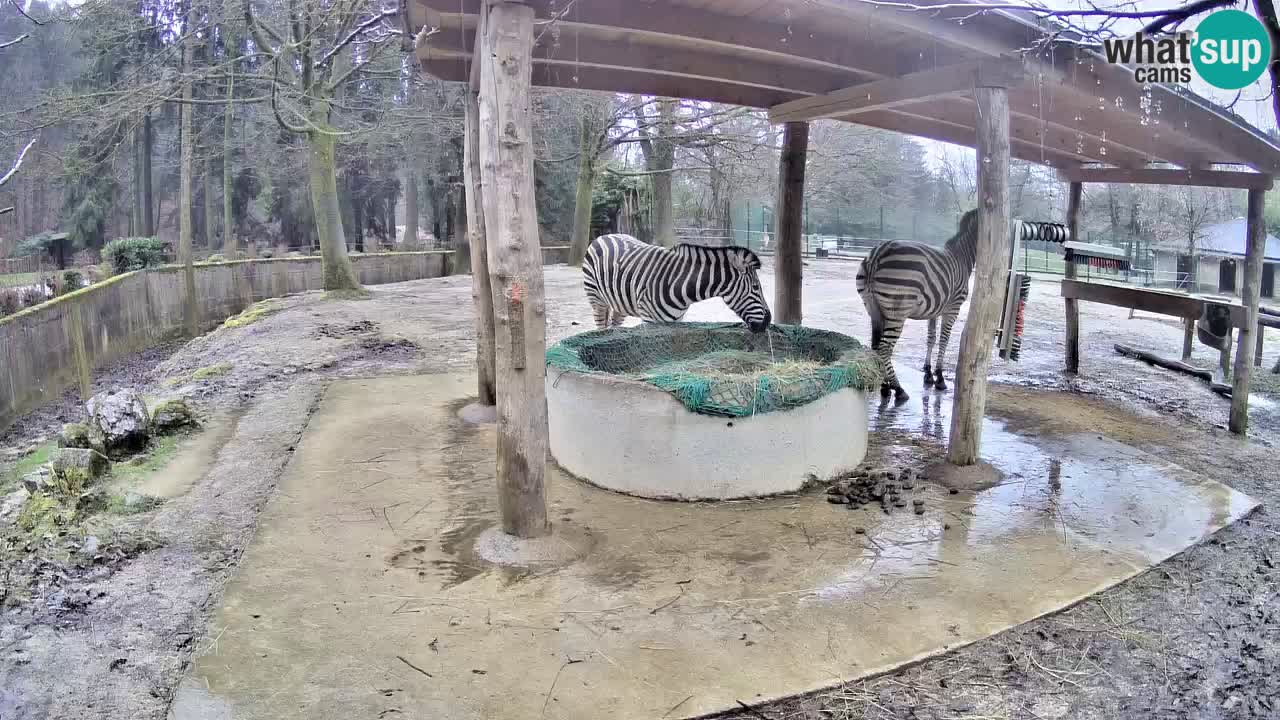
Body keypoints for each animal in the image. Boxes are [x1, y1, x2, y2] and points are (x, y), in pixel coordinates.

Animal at [581, 234, 768, 333]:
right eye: (756, 287)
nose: (768, 322)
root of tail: (603, 236)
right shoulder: (649, 321)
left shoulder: (676, 321)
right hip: (596, 299)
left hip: (619, 303)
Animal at [855, 207, 983, 399]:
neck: (962, 257)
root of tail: (878, 252)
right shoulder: (953, 308)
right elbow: (944, 340)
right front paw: (940, 378)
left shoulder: (934, 310)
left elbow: (931, 338)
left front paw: (928, 373)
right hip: (897, 311)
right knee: (884, 348)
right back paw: (898, 388)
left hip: (874, 308)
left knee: (876, 346)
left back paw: (885, 386)